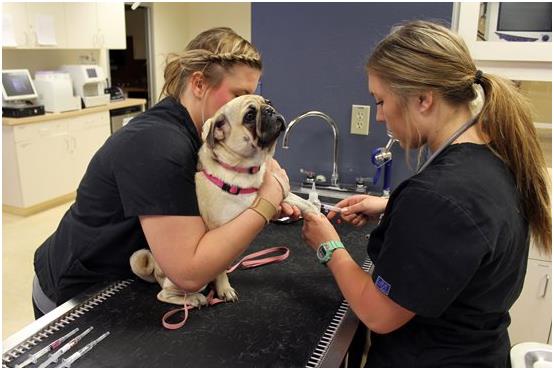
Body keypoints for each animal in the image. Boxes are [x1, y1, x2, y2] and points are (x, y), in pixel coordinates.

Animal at [129, 94, 316, 306]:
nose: (269, 110)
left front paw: (317, 212)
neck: (245, 169)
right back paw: (195, 299)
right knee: (164, 294)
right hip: (184, 282)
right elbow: (218, 271)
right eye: (250, 116)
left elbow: (302, 202)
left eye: (268, 103)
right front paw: (224, 288)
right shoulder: (217, 228)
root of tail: (156, 270)